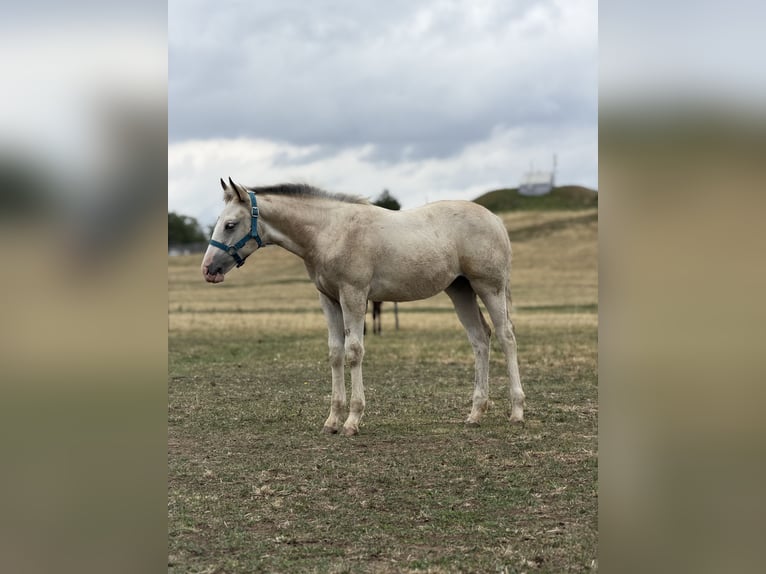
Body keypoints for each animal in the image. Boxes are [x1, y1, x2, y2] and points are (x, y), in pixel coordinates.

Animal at [201, 178, 525, 436]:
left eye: (230, 224)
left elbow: (354, 351)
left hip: (489, 288)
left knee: (506, 337)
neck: (329, 231)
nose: (208, 269)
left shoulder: (354, 296)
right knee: (480, 339)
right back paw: (476, 413)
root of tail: (495, 219)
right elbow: (335, 353)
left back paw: (517, 411)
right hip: (460, 290)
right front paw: (332, 420)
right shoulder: (329, 299)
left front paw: (352, 420)